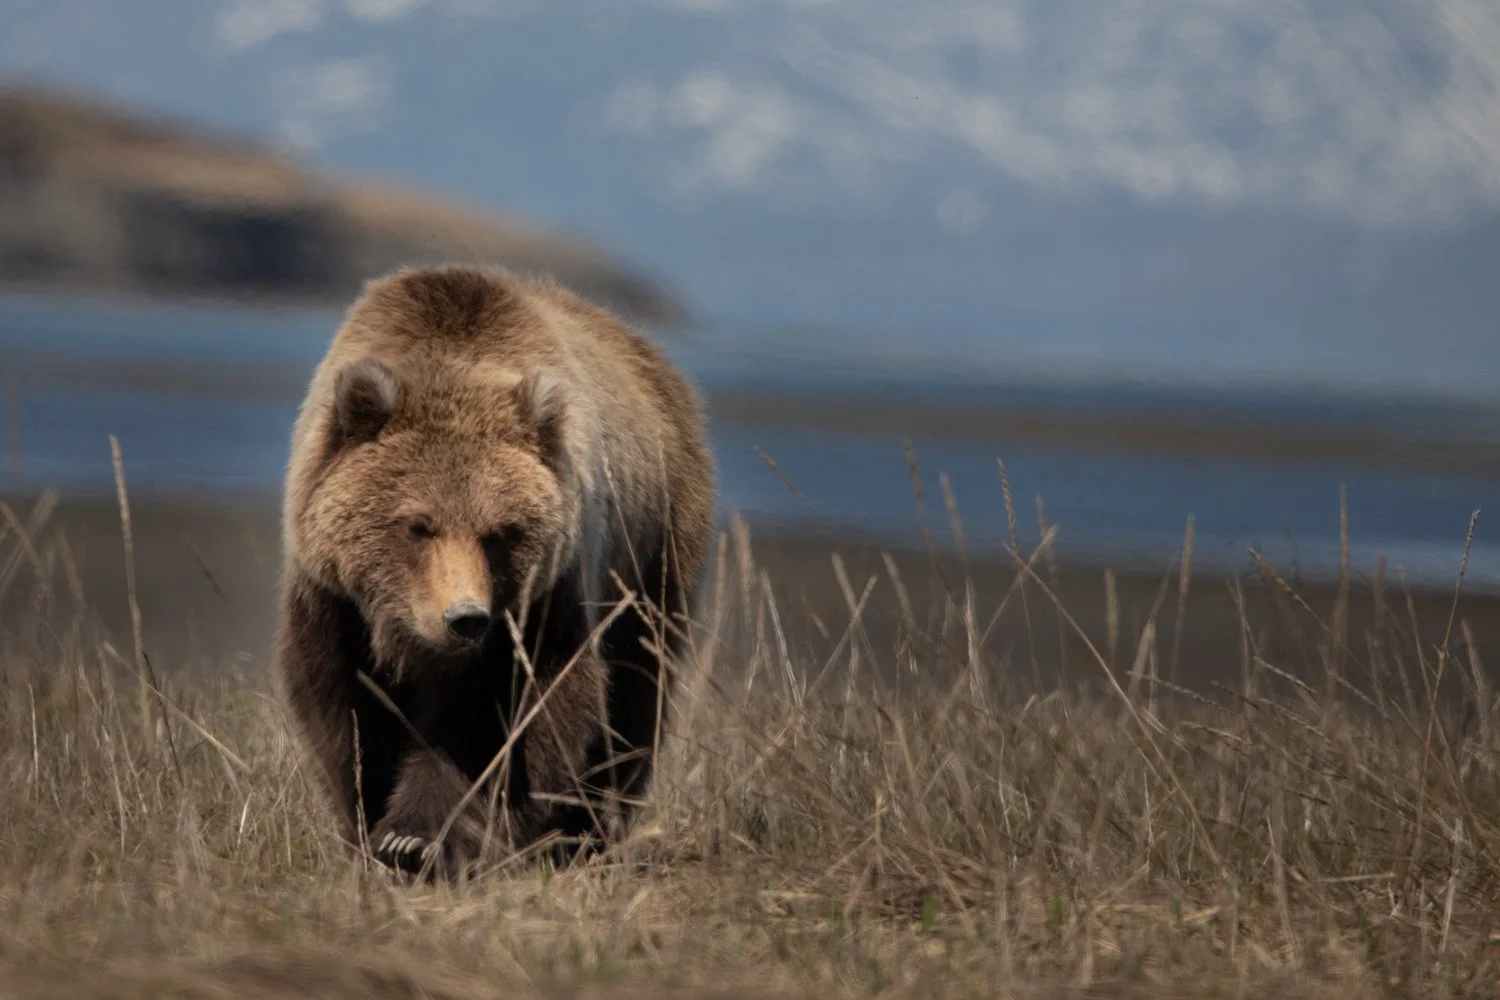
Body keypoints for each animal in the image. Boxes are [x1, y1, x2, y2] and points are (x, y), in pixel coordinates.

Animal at [273, 263, 716, 877]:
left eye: (500, 531)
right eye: (418, 525)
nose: (465, 618)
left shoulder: (544, 599)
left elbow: (510, 720)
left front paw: (420, 836)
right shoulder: (335, 601)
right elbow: (345, 712)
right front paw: (372, 829)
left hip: (653, 552)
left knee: (634, 695)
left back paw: (588, 833)